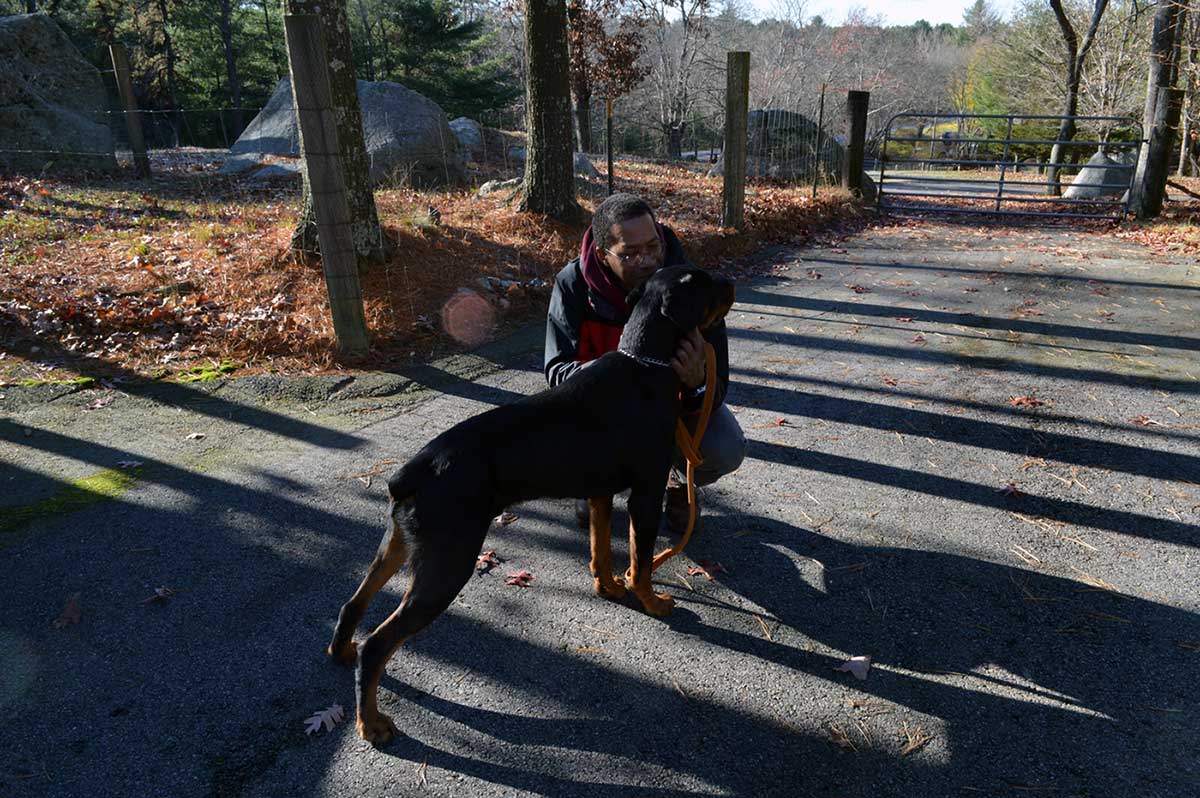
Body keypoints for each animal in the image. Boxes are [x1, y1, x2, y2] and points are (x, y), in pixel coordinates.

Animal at [333, 264, 734, 744]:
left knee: (354, 602)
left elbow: (600, 550)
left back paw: (341, 652)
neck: (645, 363)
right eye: (703, 281)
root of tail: (412, 471)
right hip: (448, 563)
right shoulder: (646, 491)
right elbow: (640, 561)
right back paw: (371, 723)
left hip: (399, 542)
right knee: (378, 644)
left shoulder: (600, 492)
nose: (730, 282)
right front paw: (651, 602)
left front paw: (609, 588)